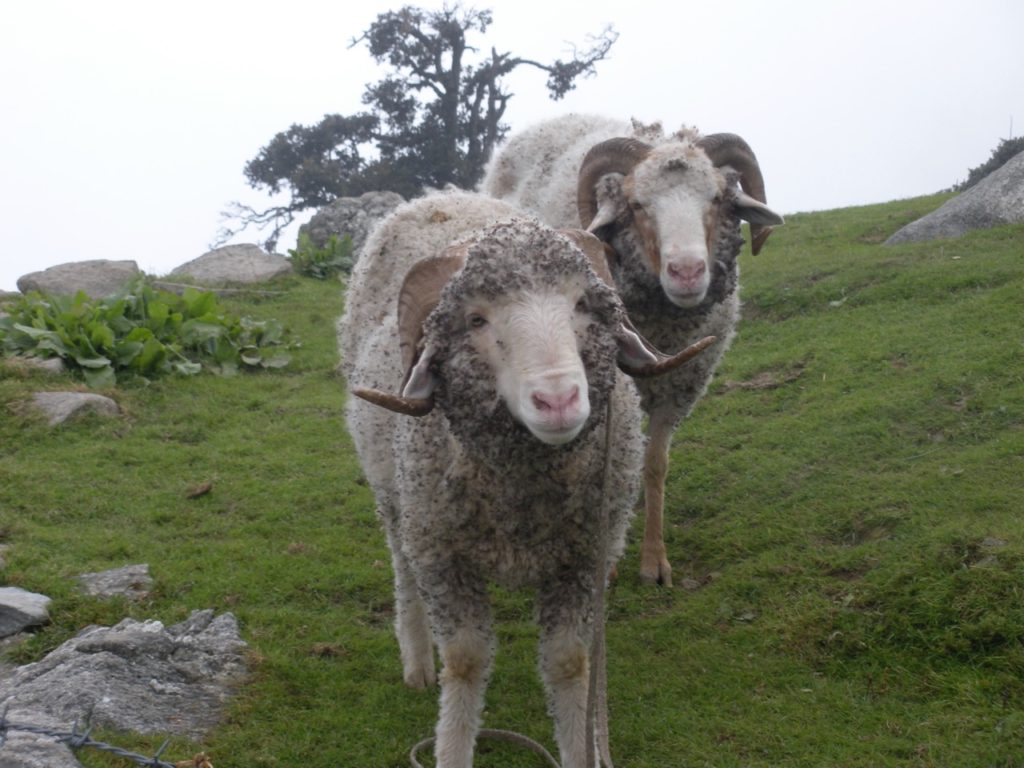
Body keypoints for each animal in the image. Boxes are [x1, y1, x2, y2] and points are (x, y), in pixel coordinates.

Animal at [339, 188, 708, 768]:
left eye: (582, 305)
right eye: (475, 320)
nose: (558, 401)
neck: (520, 500)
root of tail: (443, 196)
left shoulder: (583, 558)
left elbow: (570, 663)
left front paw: (580, 746)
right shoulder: (443, 556)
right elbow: (465, 662)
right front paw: (451, 747)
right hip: (397, 502)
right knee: (402, 568)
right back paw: (417, 660)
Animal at [483, 112, 786, 581]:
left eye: (717, 198)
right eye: (638, 206)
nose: (687, 272)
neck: (663, 332)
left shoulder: (682, 385)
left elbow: (655, 463)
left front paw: (654, 560)